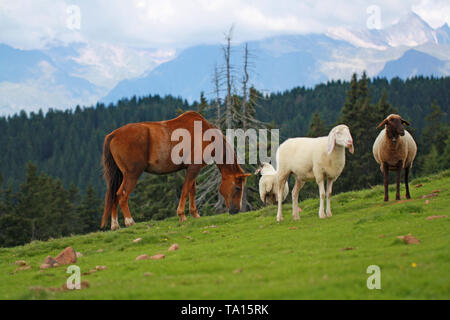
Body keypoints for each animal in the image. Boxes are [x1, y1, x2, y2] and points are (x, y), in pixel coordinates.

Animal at [100, 111, 251, 229]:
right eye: (238, 188)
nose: (236, 210)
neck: (207, 135)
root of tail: (113, 135)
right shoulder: (194, 168)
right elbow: (185, 190)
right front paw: (182, 215)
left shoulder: (191, 167)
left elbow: (192, 190)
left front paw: (194, 213)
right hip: (132, 173)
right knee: (122, 194)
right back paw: (129, 221)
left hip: (120, 174)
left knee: (114, 194)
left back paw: (115, 224)